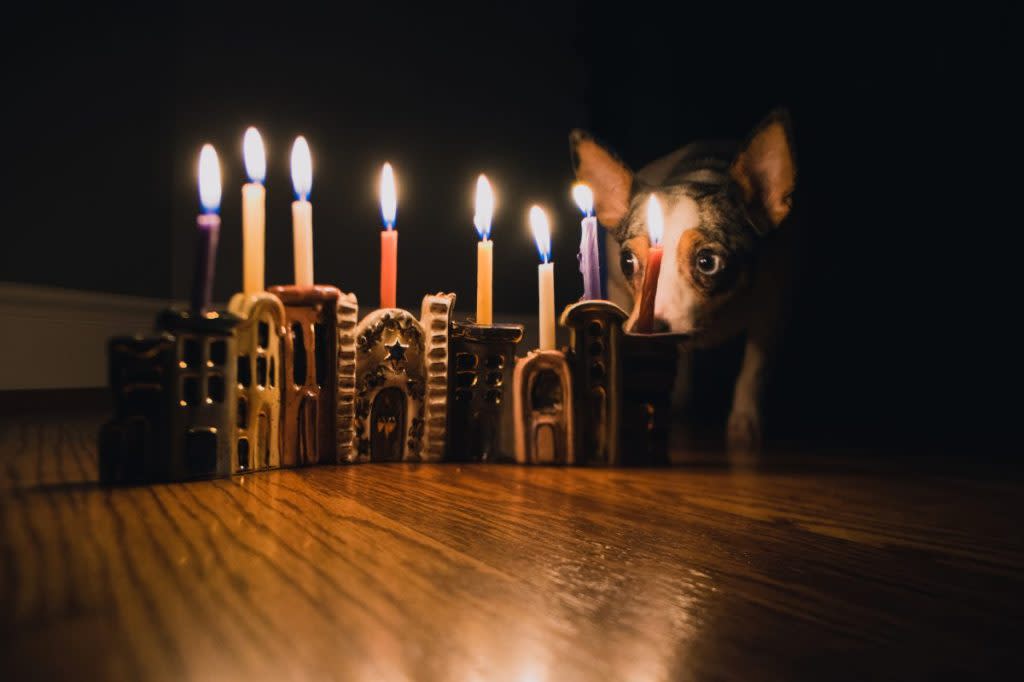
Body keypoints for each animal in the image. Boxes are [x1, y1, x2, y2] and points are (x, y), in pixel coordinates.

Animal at [569, 110, 798, 450]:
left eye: (707, 262)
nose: (648, 328)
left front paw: (745, 422)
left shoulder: (770, 307)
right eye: (627, 262)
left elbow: (754, 367)